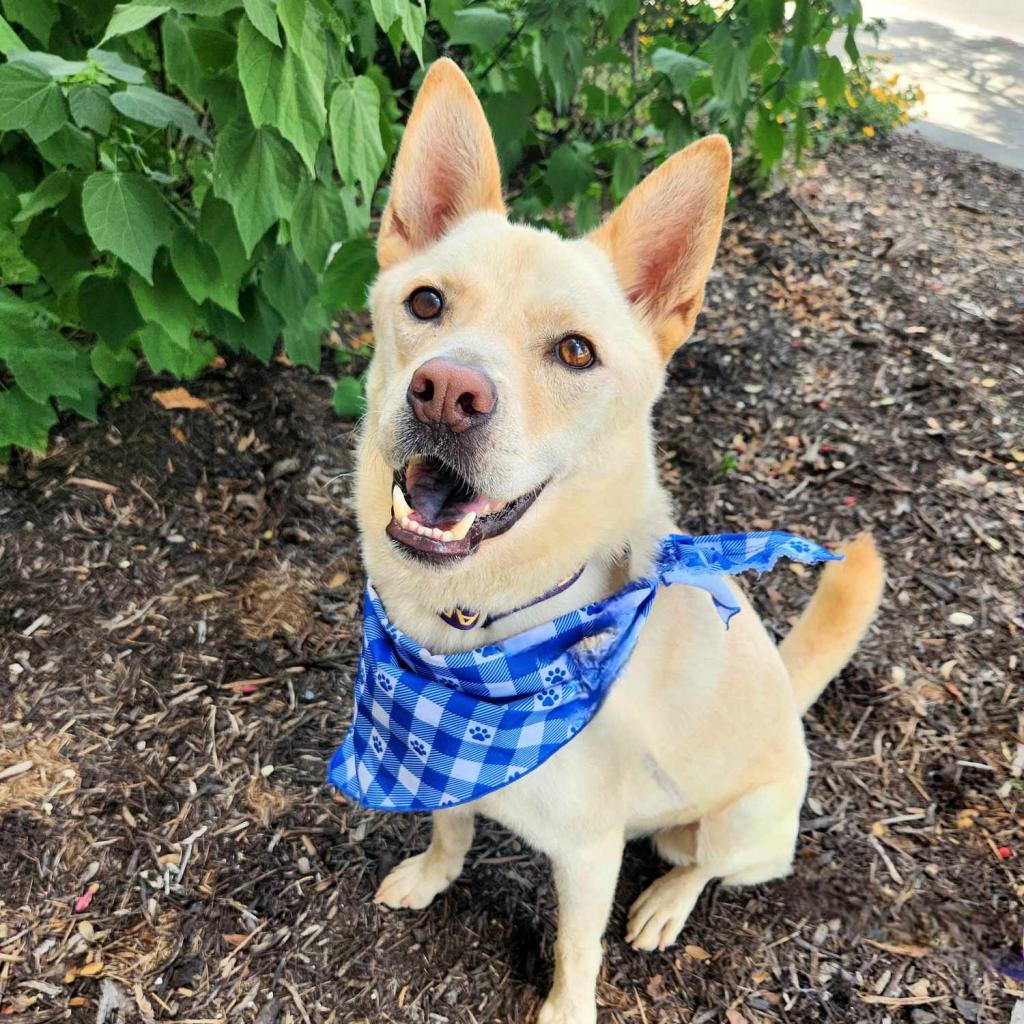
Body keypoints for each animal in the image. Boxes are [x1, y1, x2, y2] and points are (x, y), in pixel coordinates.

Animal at [352, 59, 880, 1024]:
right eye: (426, 302)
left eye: (574, 352)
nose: (446, 392)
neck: (479, 635)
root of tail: (792, 706)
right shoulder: (448, 771)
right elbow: (449, 820)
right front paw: (431, 875)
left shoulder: (589, 851)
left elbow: (575, 946)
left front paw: (566, 1009)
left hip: (737, 823)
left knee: (705, 866)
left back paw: (666, 904)